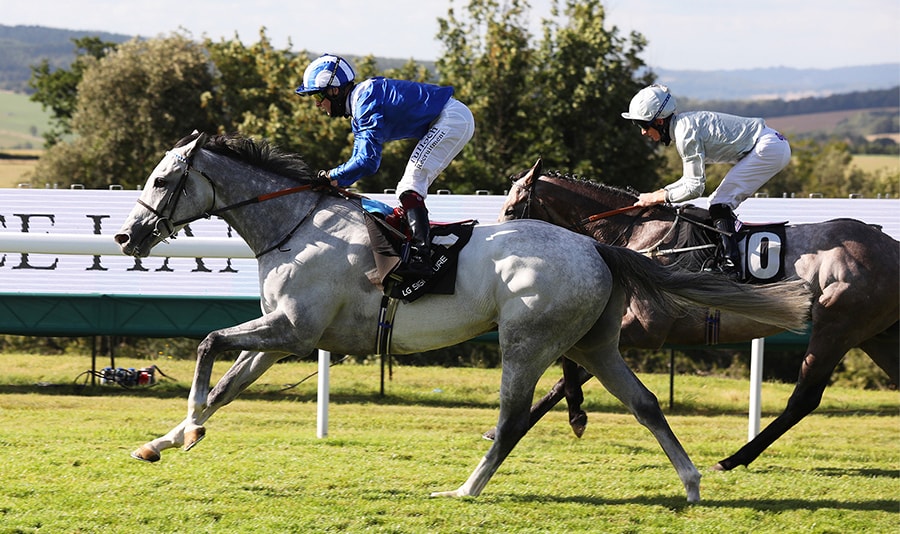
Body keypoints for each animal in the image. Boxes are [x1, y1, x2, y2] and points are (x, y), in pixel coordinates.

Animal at [110, 134, 808, 502]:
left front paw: (190, 429)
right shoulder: (281, 336)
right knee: (644, 403)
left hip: (527, 342)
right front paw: (165, 440)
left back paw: (467, 489)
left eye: (163, 178)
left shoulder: (295, 331)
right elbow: (226, 385)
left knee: (512, 417)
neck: (297, 225)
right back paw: (690, 483)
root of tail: (597, 246)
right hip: (595, 344)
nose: (126, 236)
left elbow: (207, 344)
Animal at [496, 159, 896, 474]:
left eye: (513, 210)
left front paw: (576, 416)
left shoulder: (645, 328)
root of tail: (892, 246)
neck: (636, 235)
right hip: (876, 335)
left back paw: (732, 459)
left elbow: (568, 362)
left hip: (837, 326)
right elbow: (566, 374)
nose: (499, 246)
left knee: (804, 398)